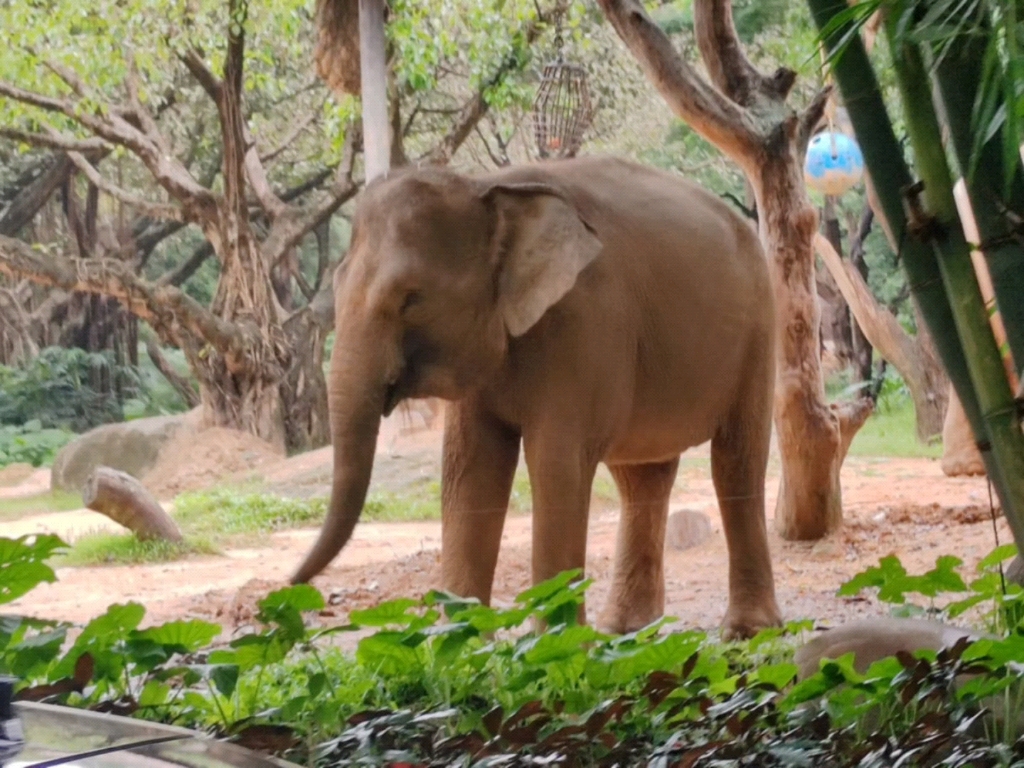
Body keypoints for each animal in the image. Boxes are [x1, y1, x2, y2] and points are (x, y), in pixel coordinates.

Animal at [292, 154, 778, 638]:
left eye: (411, 298)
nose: (291, 584)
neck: (486, 188)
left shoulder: (585, 322)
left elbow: (555, 462)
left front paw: (557, 642)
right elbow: (469, 469)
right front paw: (463, 642)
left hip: (758, 331)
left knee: (735, 461)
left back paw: (747, 630)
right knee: (641, 476)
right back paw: (624, 630)